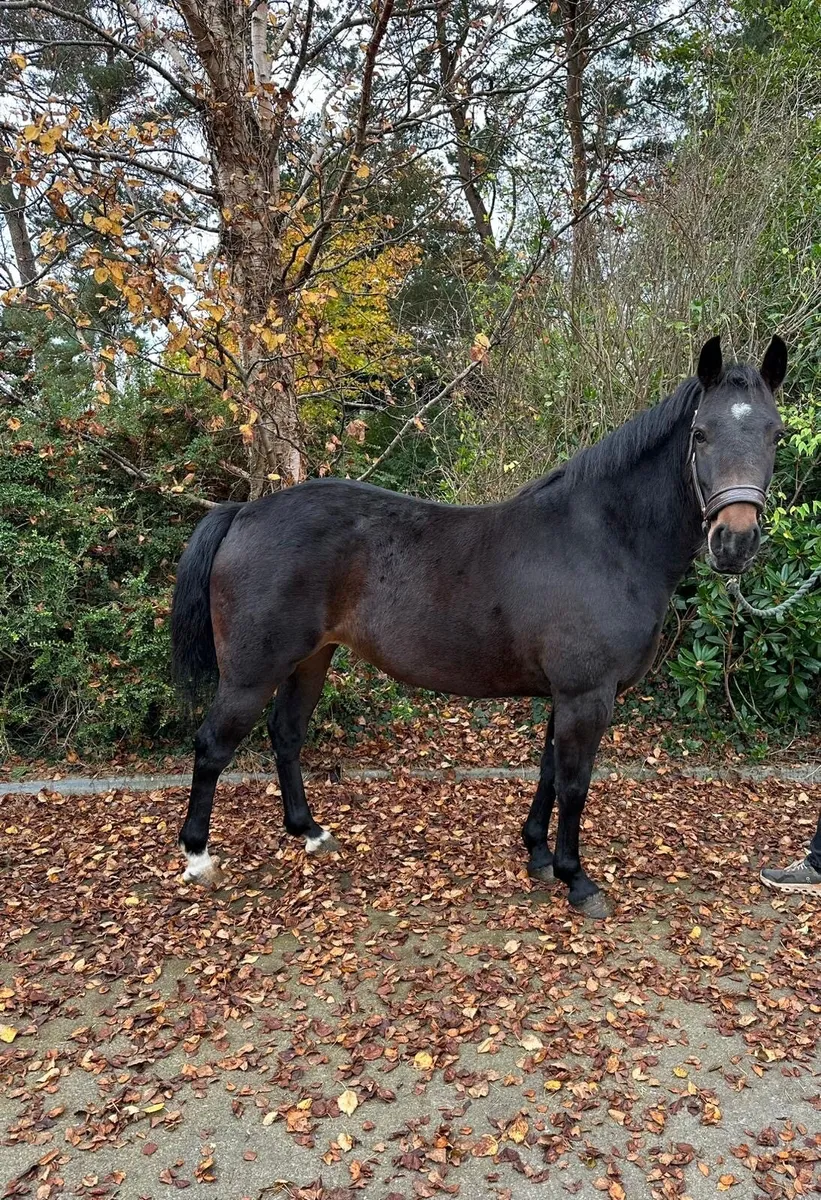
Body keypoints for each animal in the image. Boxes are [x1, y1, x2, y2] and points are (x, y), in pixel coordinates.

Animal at [170, 335, 787, 918]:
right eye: (701, 434)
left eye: (775, 434)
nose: (735, 542)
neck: (606, 539)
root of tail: (244, 513)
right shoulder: (587, 694)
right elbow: (575, 782)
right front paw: (577, 879)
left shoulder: (565, 694)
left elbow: (548, 770)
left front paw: (538, 852)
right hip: (252, 672)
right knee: (212, 745)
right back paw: (198, 857)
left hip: (310, 660)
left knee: (286, 734)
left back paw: (310, 832)